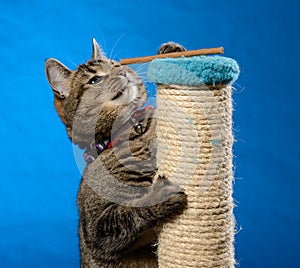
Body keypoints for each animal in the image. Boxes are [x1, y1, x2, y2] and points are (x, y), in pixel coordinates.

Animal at [44, 38, 188, 268]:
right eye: (94, 80)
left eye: (114, 65)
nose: (121, 71)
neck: (134, 132)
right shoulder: (99, 229)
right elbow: (132, 212)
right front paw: (160, 195)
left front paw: (171, 52)